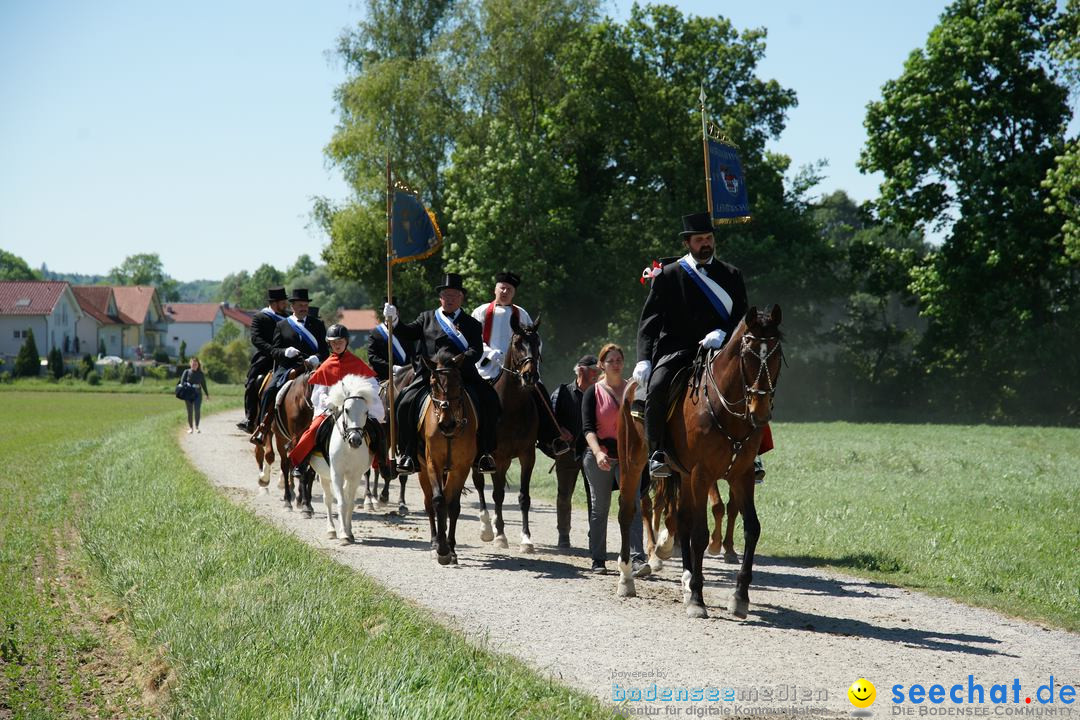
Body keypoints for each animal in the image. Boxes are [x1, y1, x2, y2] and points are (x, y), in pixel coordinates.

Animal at [308, 375, 380, 544]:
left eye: (366, 412)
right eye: (346, 409)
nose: (355, 440)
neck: (348, 447)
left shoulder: (355, 475)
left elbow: (350, 503)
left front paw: (349, 531)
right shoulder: (336, 474)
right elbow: (341, 503)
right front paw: (343, 535)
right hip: (324, 476)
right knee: (328, 499)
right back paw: (331, 530)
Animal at [416, 351, 477, 565]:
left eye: (458, 382)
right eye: (433, 383)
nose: (447, 424)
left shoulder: (461, 468)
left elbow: (453, 505)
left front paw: (450, 547)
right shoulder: (433, 464)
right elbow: (438, 501)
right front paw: (441, 548)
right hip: (423, 471)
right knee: (429, 503)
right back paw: (435, 541)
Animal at [470, 313, 540, 552]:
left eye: (537, 342)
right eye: (517, 343)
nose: (529, 376)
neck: (512, 408)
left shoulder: (527, 455)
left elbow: (524, 497)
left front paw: (526, 539)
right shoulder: (497, 458)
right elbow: (498, 494)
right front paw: (500, 535)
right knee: (480, 485)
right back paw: (486, 527)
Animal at [617, 306, 786, 621]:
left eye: (777, 354)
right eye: (747, 355)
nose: (759, 412)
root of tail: (629, 386)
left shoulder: (741, 475)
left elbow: (752, 528)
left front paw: (739, 597)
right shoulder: (702, 474)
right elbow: (699, 533)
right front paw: (697, 598)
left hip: (683, 475)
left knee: (680, 520)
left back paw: (684, 578)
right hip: (633, 461)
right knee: (627, 510)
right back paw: (626, 578)